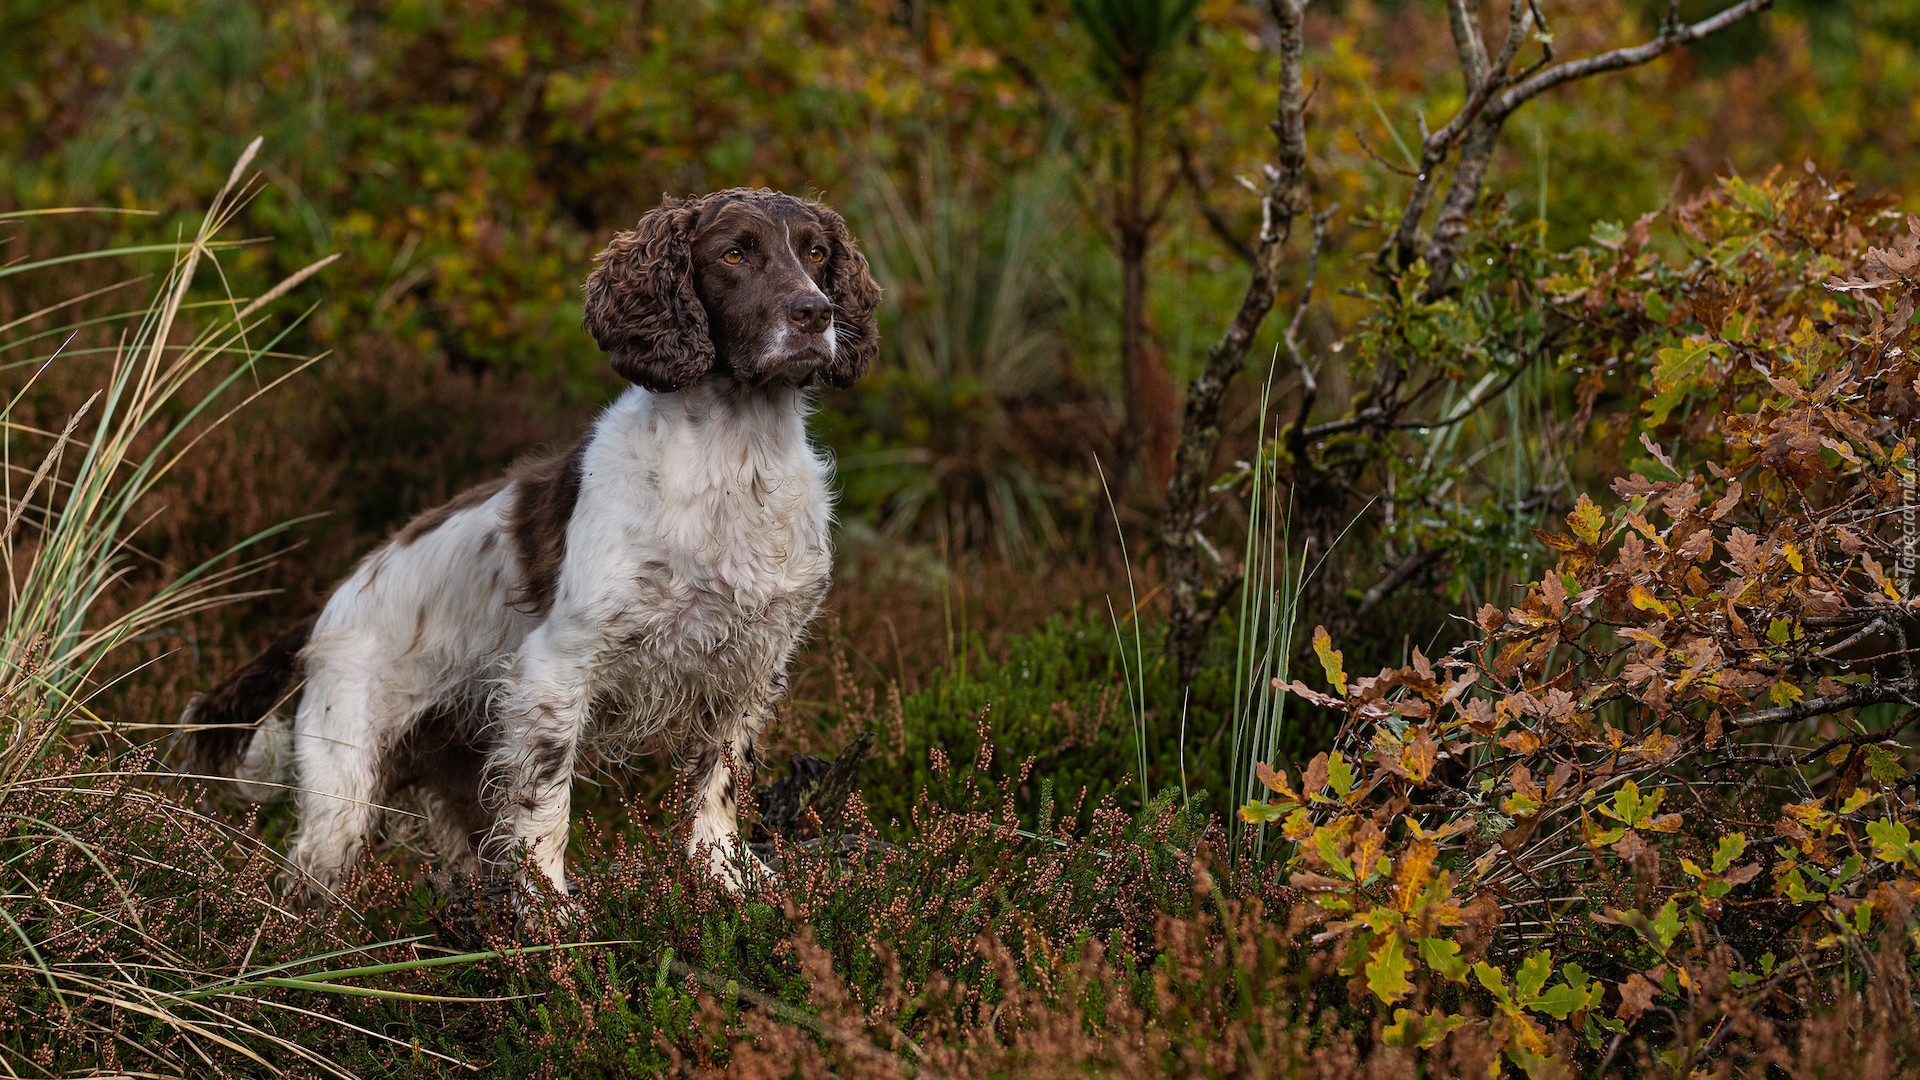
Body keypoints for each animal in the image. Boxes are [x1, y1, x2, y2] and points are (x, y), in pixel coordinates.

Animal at [180, 189, 883, 895]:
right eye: (734, 253)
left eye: (815, 252)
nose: (815, 314)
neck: (735, 461)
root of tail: (327, 608)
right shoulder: (556, 670)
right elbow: (546, 807)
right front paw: (555, 910)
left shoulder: (749, 667)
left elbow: (718, 785)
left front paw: (725, 880)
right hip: (344, 777)